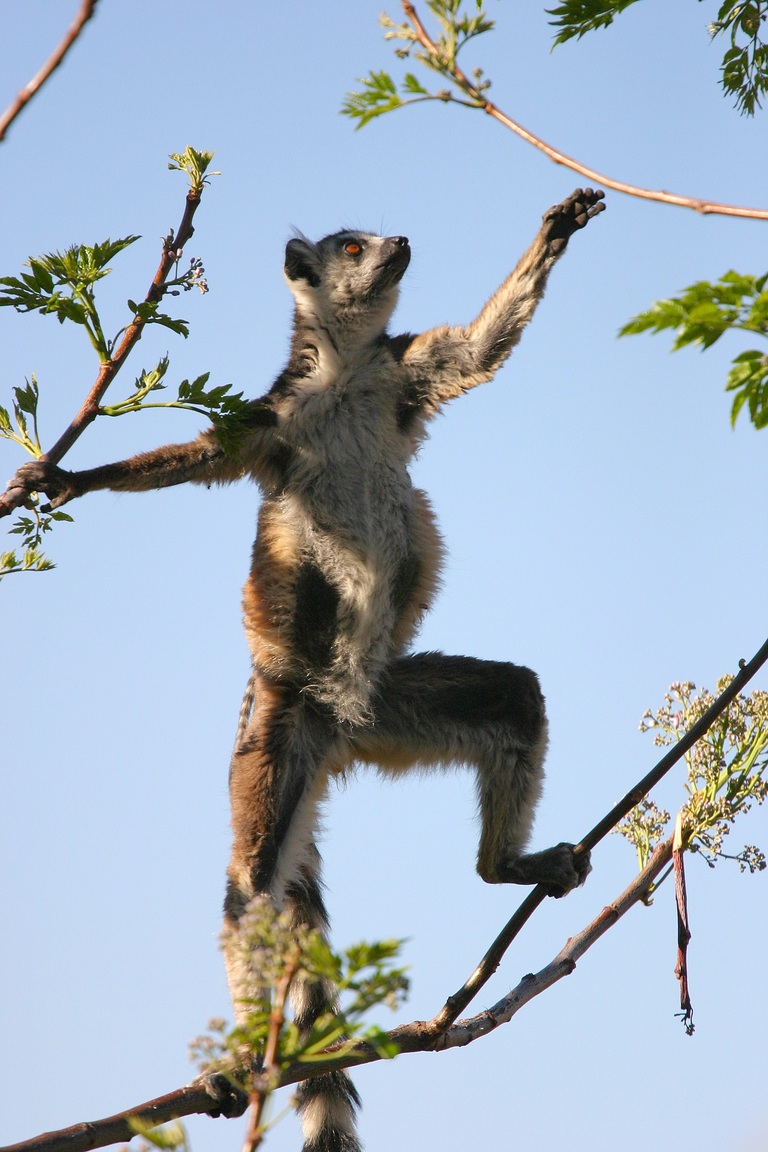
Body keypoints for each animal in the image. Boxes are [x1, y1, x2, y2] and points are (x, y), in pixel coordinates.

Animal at [10, 187, 604, 1152]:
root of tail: (339, 725)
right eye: (353, 246)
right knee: (251, 885)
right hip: (276, 718)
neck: (347, 372)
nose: (402, 244)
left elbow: (478, 349)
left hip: (397, 705)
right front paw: (75, 476)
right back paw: (235, 1062)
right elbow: (195, 456)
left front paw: (560, 228)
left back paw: (502, 867)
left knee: (513, 698)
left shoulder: (406, 375)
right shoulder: (272, 420)